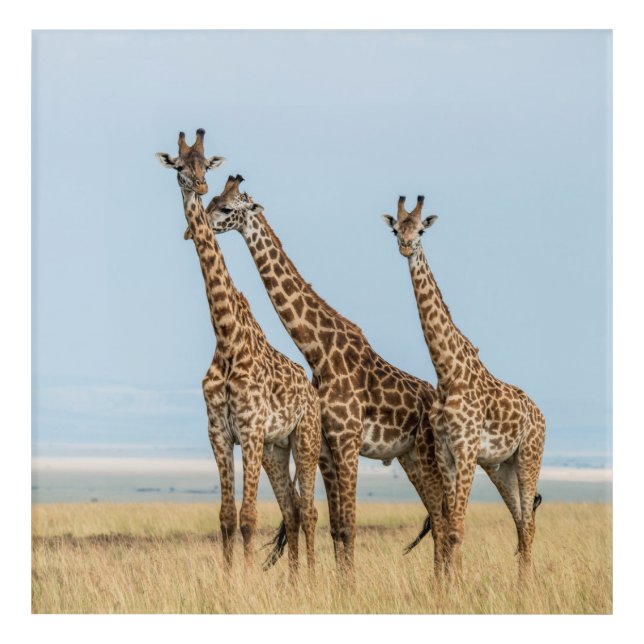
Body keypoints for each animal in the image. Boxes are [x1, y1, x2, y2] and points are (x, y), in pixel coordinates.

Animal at [156, 130, 321, 579]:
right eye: (180, 165)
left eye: (205, 165)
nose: (198, 187)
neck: (227, 337)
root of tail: (312, 389)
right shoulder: (219, 433)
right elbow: (227, 517)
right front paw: (230, 580)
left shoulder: (248, 430)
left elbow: (248, 517)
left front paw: (246, 581)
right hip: (275, 449)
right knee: (292, 509)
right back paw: (293, 582)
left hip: (305, 438)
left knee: (310, 510)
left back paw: (314, 580)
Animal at [202, 182, 447, 581]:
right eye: (211, 201)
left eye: (225, 208)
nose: (199, 225)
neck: (318, 350)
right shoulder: (328, 449)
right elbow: (335, 525)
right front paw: (340, 584)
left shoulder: (347, 442)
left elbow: (349, 524)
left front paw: (349, 586)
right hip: (408, 457)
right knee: (439, 516)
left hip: (428, 455)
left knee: (443, 516)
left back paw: (444, 582)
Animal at [382, 195, 546, 580]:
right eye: (396, 229)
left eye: (421, 230)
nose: (405, 246)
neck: (447, 372)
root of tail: (541, 415)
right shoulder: (446, 451)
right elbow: (451, 525)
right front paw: (450, 583)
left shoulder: (467, 448)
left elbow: (456, 527)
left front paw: (458, 585)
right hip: (502, 467)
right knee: (521, 522)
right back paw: (521, 585)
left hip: (530, 455)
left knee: (529, 523)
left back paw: (528, 586)